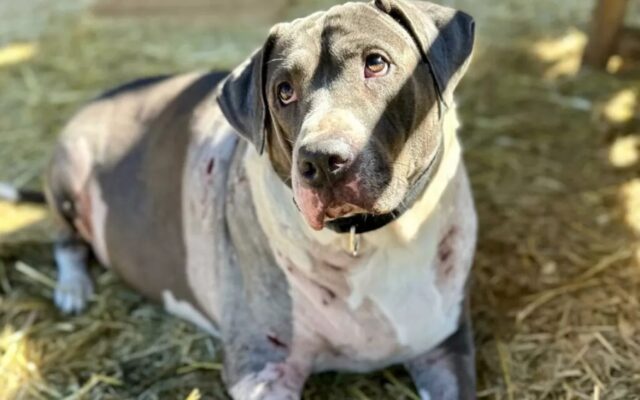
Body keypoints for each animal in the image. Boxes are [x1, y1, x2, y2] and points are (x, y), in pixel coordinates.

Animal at [2, 1, 478, 398]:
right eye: (284, 91)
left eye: (376, 63)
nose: (321, 161)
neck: (365, 237)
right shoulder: (262, 370)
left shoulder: (446, 349)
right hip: (69, 162)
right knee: (65, 238)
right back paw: (72, 287)